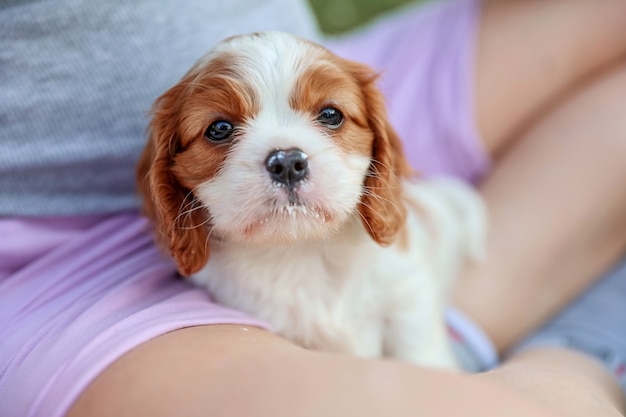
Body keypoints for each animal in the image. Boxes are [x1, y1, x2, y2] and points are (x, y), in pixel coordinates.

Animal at [139, 31, 486, 368]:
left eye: (331, 114)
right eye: (219, 128)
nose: (287, 162)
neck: (304, 249)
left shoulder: (407, 301)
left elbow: (420, 354)